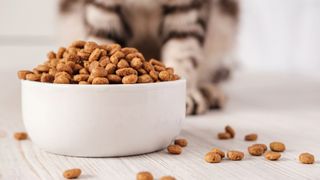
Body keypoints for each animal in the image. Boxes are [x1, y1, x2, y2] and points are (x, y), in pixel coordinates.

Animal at [57, 0, 239, 115]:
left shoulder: (187, 9)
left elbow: (182, 51)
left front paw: (185, 95)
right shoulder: (102, 9)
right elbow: (101, 39)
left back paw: (210, 92)